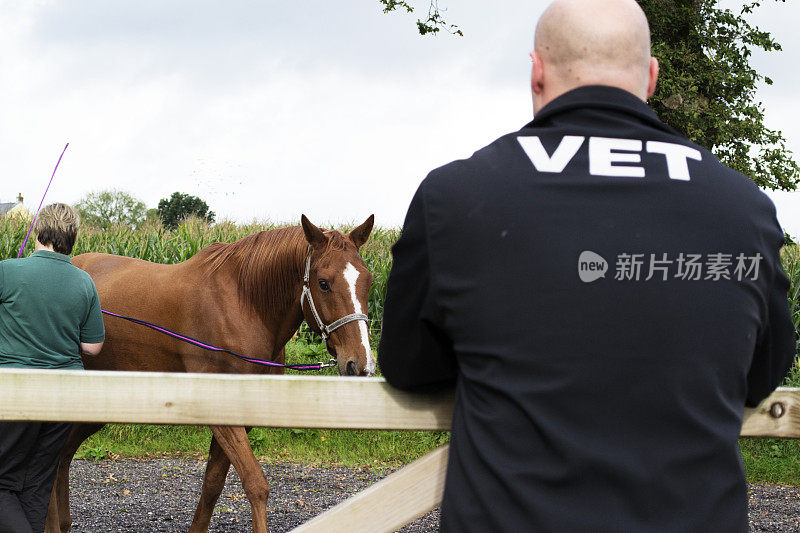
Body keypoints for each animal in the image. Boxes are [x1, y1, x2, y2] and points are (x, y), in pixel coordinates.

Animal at [45, 214, 376, 528]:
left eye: (369, 280)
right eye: (323, 282)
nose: (360, 364)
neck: (243, 305)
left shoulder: (242, 417)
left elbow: (213, 485)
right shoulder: (221, 413)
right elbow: (256, 484)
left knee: (62, 456)